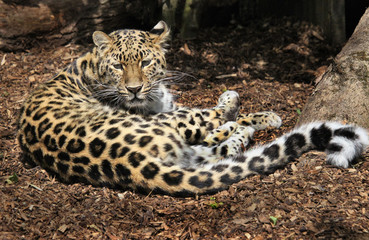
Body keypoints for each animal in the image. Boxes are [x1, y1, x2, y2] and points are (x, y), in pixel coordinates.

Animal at [18, 20, 368, 197]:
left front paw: (265, 115)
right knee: (216, 127)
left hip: (181, 145)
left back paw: (245, 128)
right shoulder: (170, 111)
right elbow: (224, 110)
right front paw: (244, 107)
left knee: (215, 151)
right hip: (170, 124)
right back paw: (237, 118)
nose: (133, 89)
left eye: (145, 62)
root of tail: (126, 162)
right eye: (118, 66)